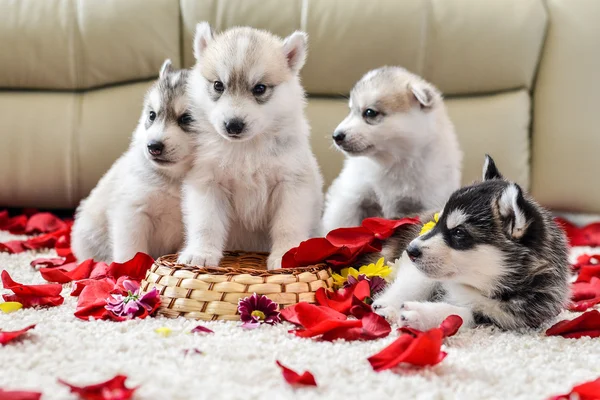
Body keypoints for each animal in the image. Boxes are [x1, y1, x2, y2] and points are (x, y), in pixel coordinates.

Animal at [72, 60, 196, 262]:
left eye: (187, 118)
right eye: (152, 115)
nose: (153, 146)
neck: (174, 179)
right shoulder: (132, 212)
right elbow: (131, 251)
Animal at [176, 23, 326, 270]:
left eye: (260, 88)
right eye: (218, 85)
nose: (233, 125)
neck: (246, 149)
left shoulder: (292, 184)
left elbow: (288, 224)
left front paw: (286, 254)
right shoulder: (207, 183)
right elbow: (206, 223)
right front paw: (200, 253)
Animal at [322, 66, 462, 234]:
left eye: (369, 112)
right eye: (350, 111)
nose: (336, 136)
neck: (393, 162)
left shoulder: (426, 200)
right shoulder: (352, 198)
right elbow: (343, 225)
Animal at [372, 156, 568, 332]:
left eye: (459, 233)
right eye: (437, 222)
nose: (410, 249)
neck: (476, 286)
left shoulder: (503, 316)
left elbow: (460, 314)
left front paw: (421, 314)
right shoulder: (423, 271)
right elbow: (414, 283)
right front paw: (388, 305)